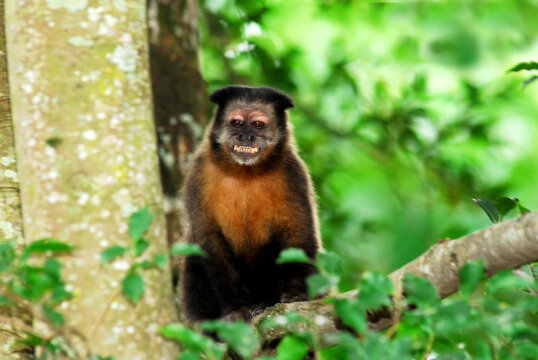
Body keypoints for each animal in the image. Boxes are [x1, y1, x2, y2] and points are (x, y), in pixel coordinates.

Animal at [182, 86, 320, 322]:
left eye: (257, 124)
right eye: (237, 123)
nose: (246, 136)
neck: (245, 172)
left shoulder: (293, 172)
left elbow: (297, 234)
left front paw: (295, 292)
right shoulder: (198, 172)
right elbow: (210, 241)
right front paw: (236, 308)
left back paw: (265, 302)